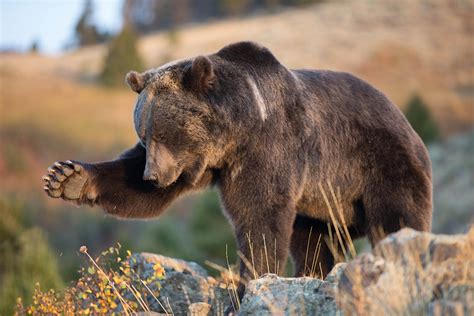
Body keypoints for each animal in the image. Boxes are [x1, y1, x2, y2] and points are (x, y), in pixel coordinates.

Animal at [41, 42, 434, 306]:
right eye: (144, 134)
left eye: (164, 132)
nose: (151, 176)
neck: (235, 134)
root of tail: (407, 123)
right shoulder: (203, 165)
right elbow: (134, 187)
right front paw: (66, 177)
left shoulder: (269, 149)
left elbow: (260, 217)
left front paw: (249, 285)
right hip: (322, 203)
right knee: (314, 242)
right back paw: (312, 275)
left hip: (380, 166)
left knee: (397, 219)